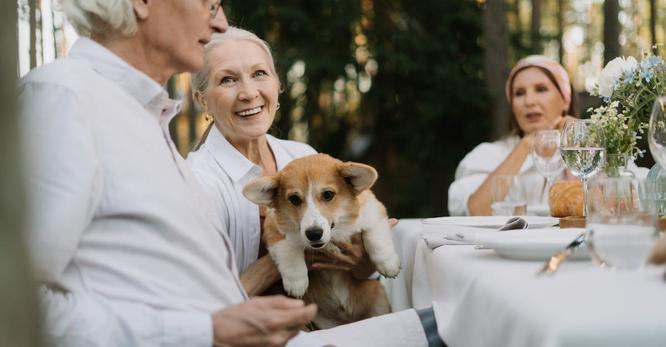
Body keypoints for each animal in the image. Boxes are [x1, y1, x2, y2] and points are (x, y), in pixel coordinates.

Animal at [244, 154, 400, 328]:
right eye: (294, 199)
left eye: (328, 195)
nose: (313, 234)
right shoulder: (273, 228)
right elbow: (288, 249)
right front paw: (296, 281)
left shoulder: (373, 211)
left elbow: (375, 236)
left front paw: (388, 264)